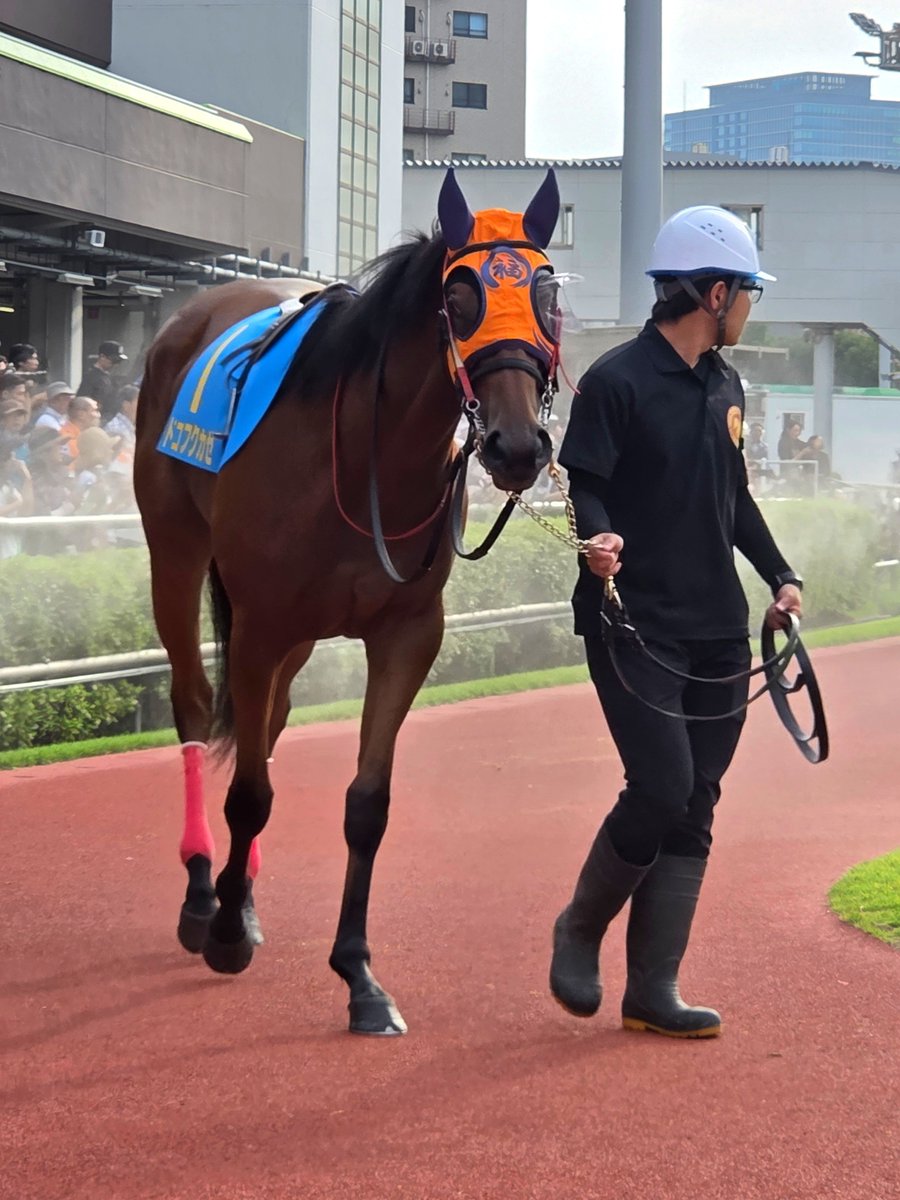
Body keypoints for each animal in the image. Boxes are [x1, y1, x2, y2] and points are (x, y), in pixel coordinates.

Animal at [133, 168, 562, 1035]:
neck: (370, 453)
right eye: (460, 293)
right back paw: (203, 897)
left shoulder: (407, 632)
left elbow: (366, 803)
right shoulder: (262, 623)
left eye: (546, 290)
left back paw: (240, 896)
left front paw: (359, 975)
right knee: (194, 704)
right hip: (177, 554)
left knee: (266, 722)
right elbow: (250, 793)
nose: (516, 446)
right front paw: (224, 932)